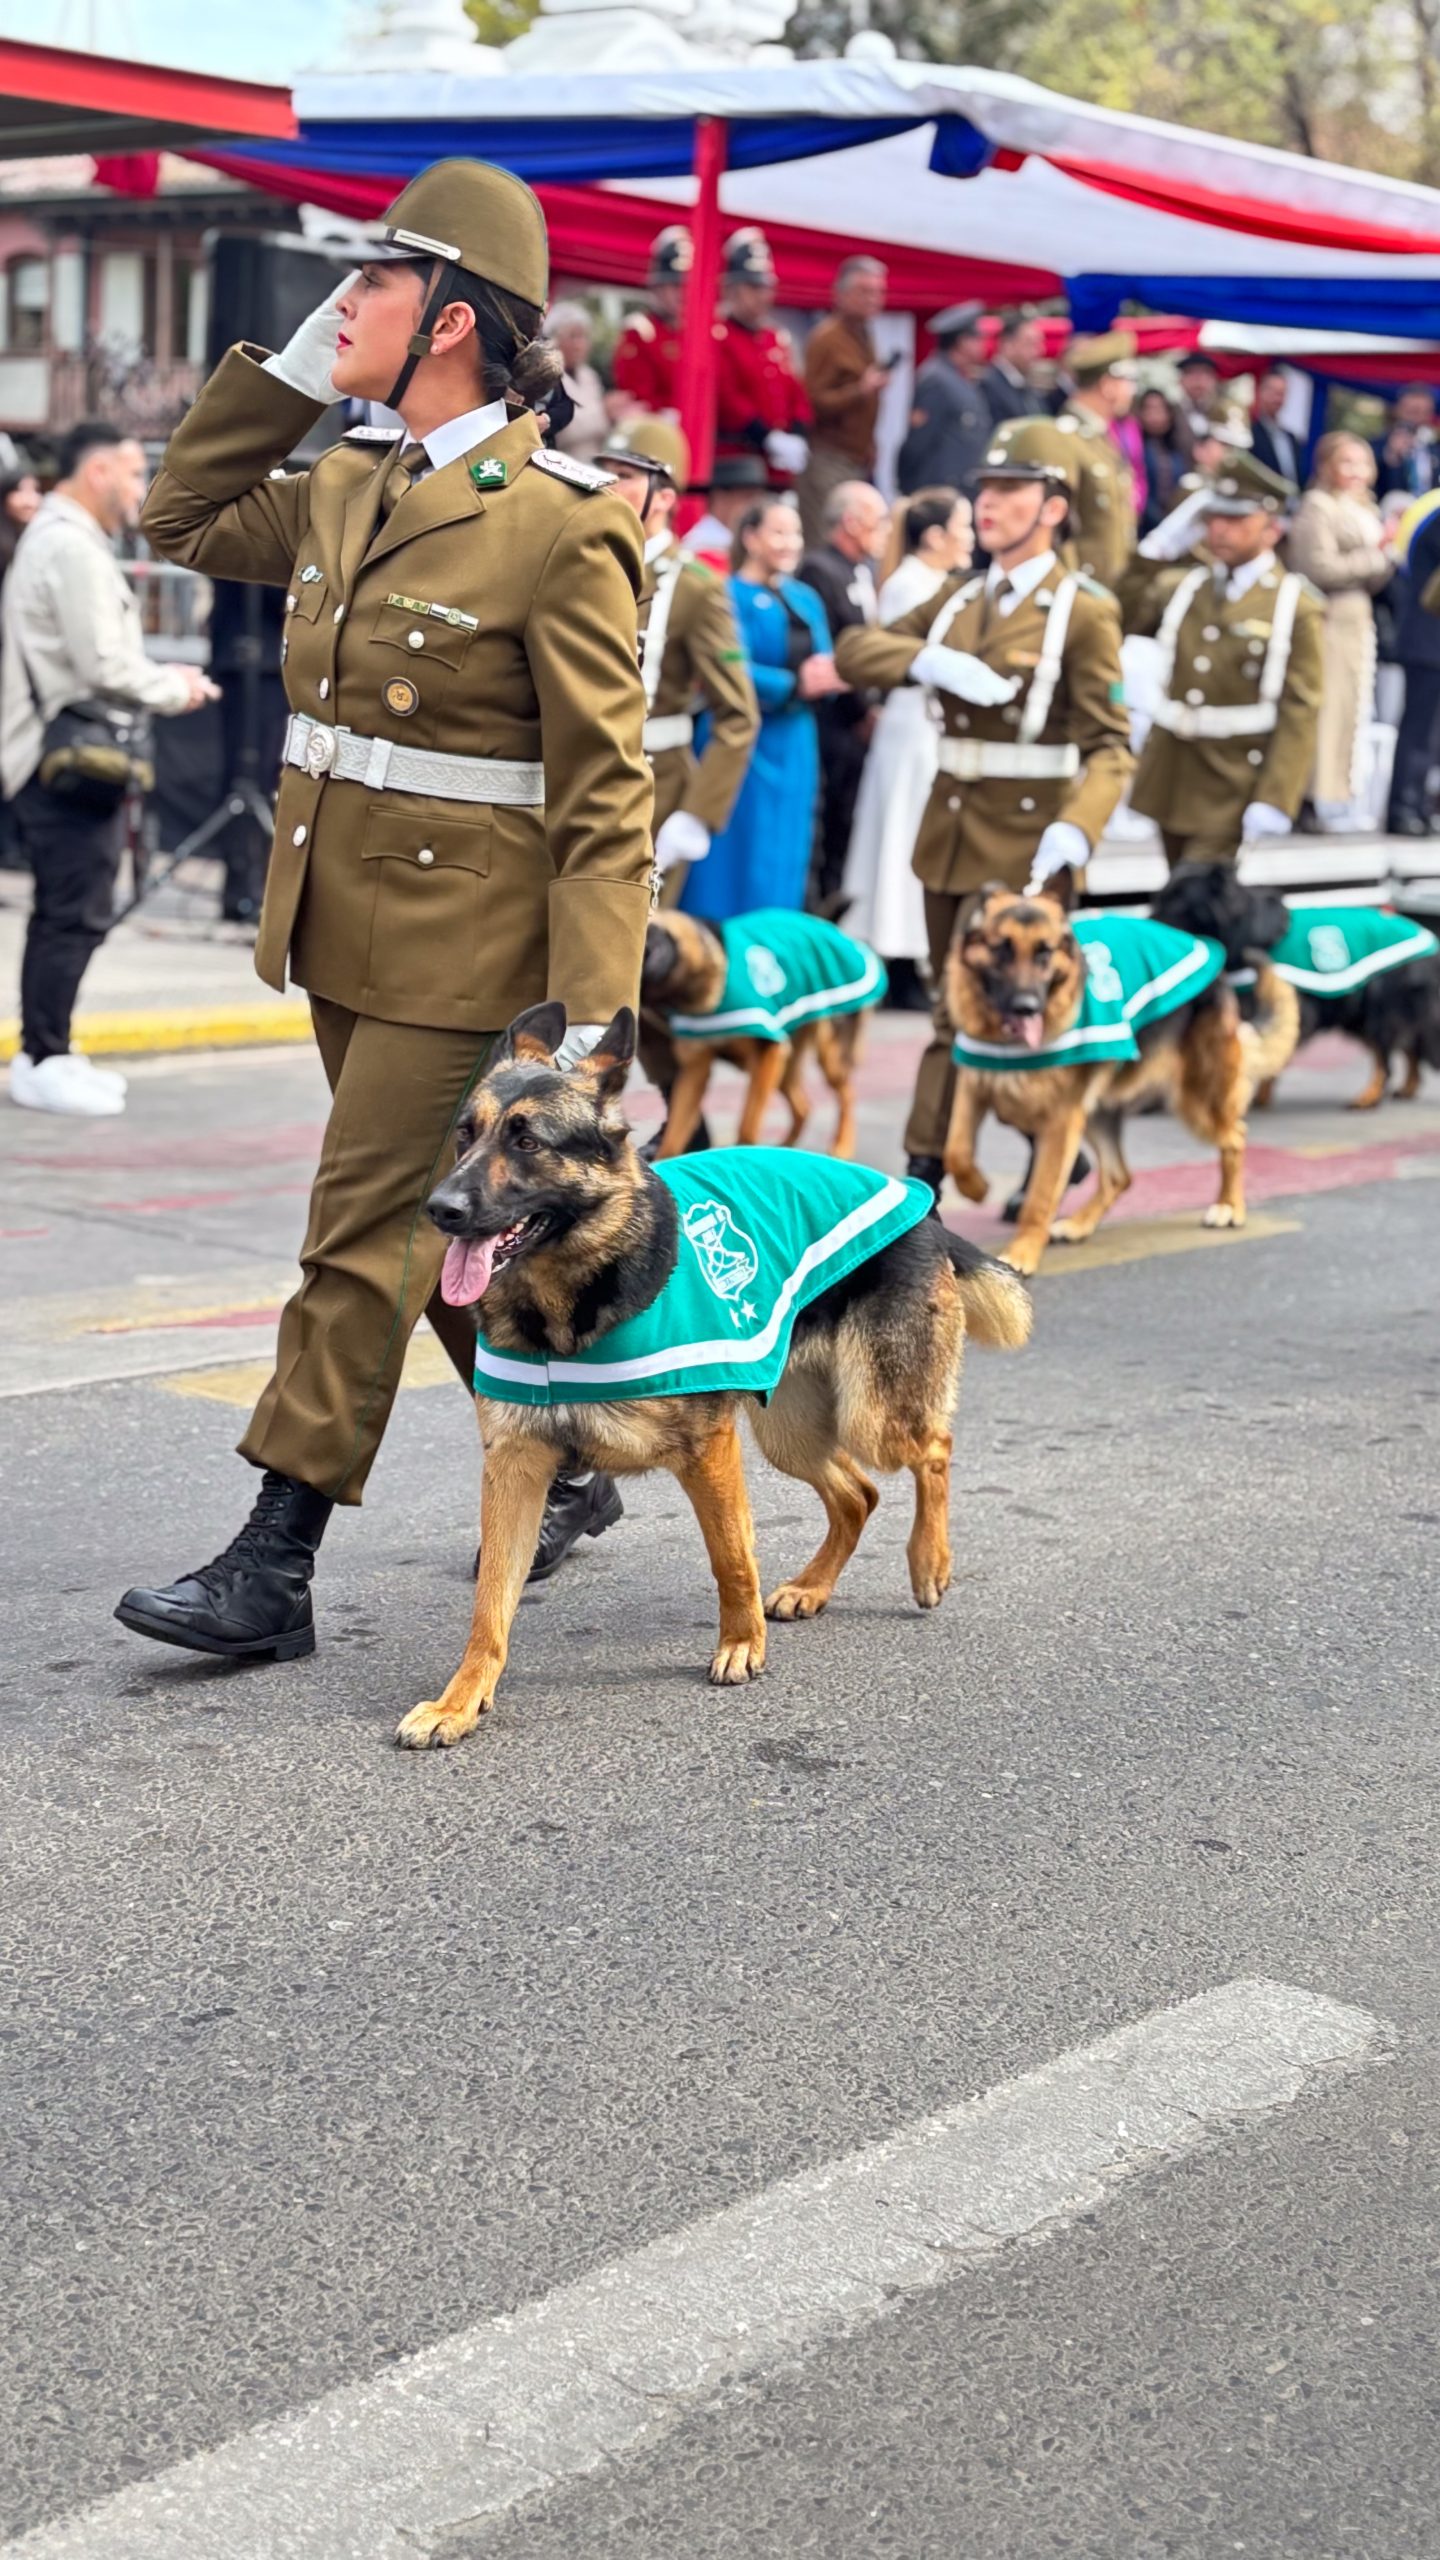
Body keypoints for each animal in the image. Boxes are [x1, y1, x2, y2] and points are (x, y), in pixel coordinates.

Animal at [396, 1001, 1031, 1750]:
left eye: (526, 1140)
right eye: (466, 1135)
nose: (440, 1210)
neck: (568, 1304)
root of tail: (918, 1202)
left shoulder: (707, 1454)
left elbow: (731, 1557)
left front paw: (741, 1644)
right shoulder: (514, 1469)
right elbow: (490, 1604)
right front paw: (460, 1700)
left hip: (873, 1415)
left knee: (933, 1449)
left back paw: (930, 1562)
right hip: (789, 1432)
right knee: (859, 1494)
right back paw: (813, 1587)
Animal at [639, 908, 880, 1160]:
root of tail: (824, 924)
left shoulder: (766, 1054)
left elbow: (747, 1122)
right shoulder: (695, 1070)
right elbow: (674, 1135)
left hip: (821, 1055)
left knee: (846, 1094)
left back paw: (842, 1144)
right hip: (784, 1065)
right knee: (803, 1107)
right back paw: (783, 1149)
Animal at [942, 874, 1300, 1276]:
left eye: (1044, 953)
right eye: (1001, 951)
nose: (1026, 1008)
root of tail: (1203, 946)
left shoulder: (1061, 1120)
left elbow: (1040, 1194)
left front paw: (1023, 1251)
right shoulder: (973, 1089)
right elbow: (956, 1151)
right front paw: (976, 1188)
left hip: (1196, 1101)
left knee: (1235, 1138)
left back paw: (1228, 1206)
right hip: (1099, 1112)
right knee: (1119, 1176)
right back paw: (1080, 1225)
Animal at [1153, 862, 1440, 1111]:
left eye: (1178, 901)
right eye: (1161, 898)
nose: (1149, 925)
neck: (1242, 931)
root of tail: (1428, 941)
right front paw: (1262, 1096)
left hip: (1377, 1010)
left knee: (1385, 1057)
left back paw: (1370, 1096)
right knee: (1410, 1047)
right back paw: (1407, 1088)